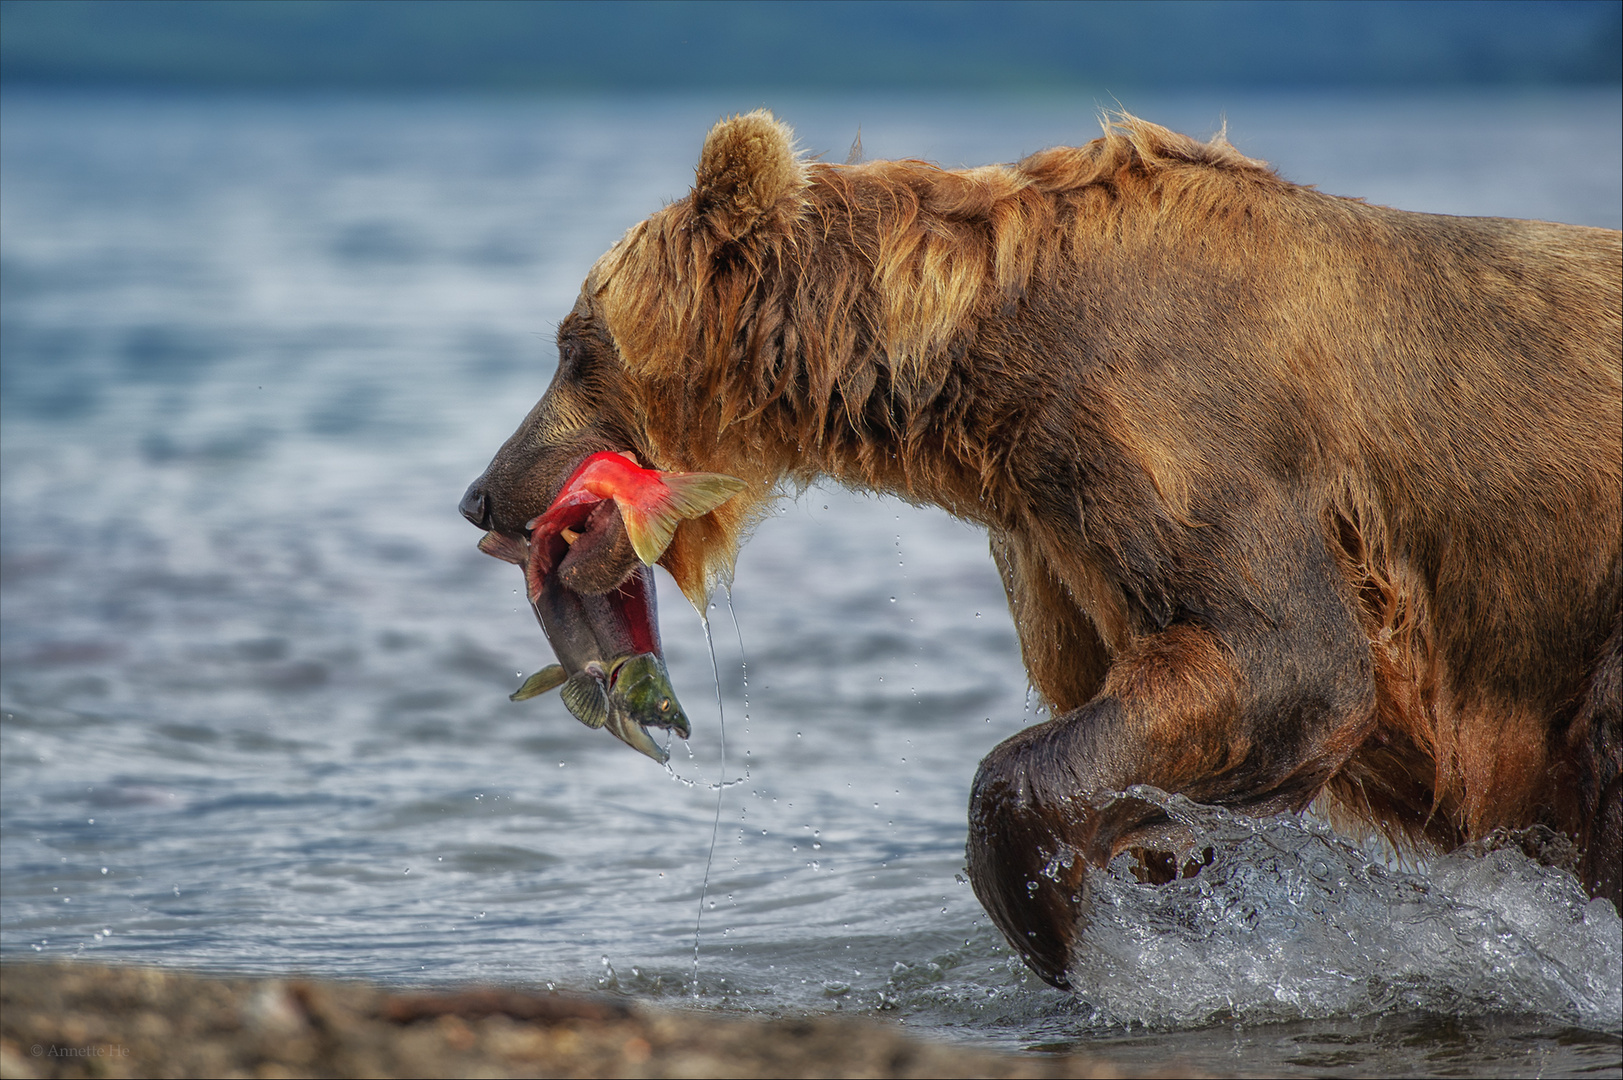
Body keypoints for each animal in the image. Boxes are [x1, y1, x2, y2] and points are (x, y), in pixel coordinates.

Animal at [464, 109, 1616, 987]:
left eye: (573, 346)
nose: (483, 495)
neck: (981, 376)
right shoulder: (1061, 540)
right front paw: (1147, 895)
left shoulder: (1189, 433)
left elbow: (1278, 657)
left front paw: (1059, 921)